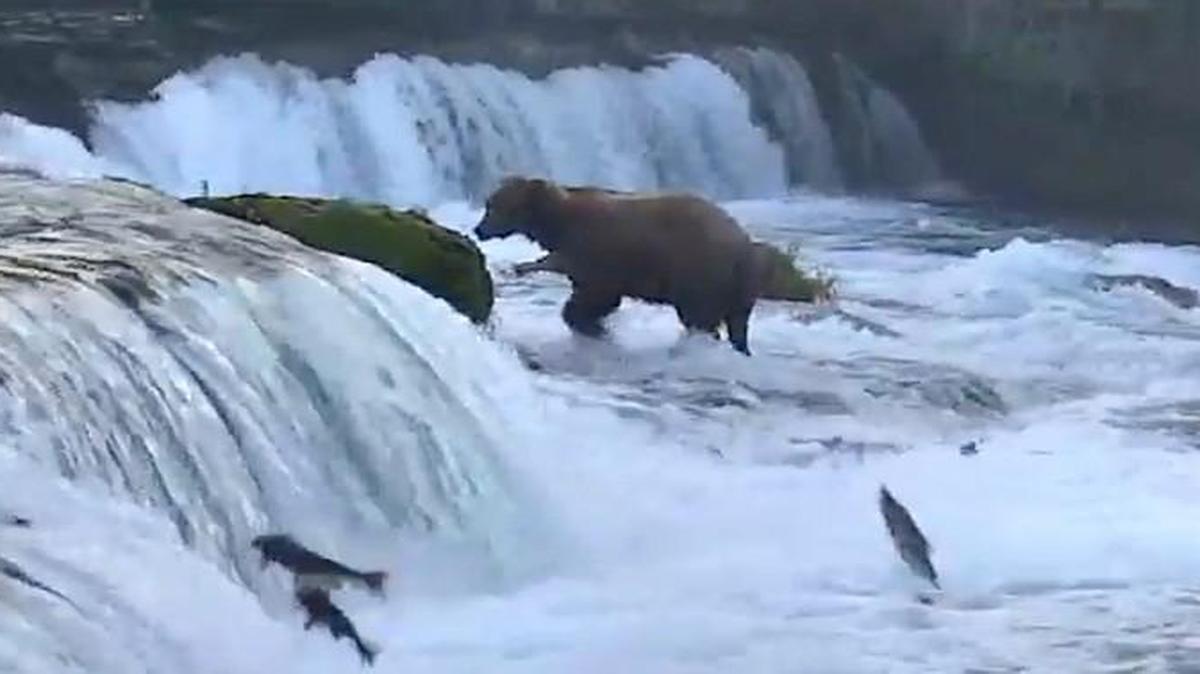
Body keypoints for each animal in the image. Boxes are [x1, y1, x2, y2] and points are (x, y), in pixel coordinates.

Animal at [474, 176, 766, 355]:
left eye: (493, 205)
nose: (479, 229)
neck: (558, 223)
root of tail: (742, 241)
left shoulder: (596, 252)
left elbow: (592, 296)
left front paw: (590, 325)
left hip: (700, 269)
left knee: (699, 316)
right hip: (737, 285)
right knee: (737, 323)